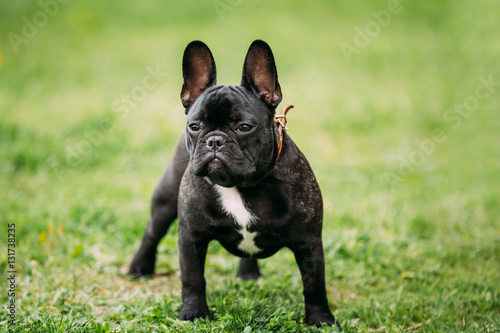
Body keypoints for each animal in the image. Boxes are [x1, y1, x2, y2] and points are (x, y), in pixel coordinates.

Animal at [129, 39, 340, 326]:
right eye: (195, 126)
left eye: (244, 127)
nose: (215, 140)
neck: (240, 186)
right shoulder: (191, 237)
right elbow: (193, 278)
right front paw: (193, 313)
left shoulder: (308, 242)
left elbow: (314, 283)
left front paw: (320, 320)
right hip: (166, 199)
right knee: (152, 232)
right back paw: (139, 267)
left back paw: (248, 274)